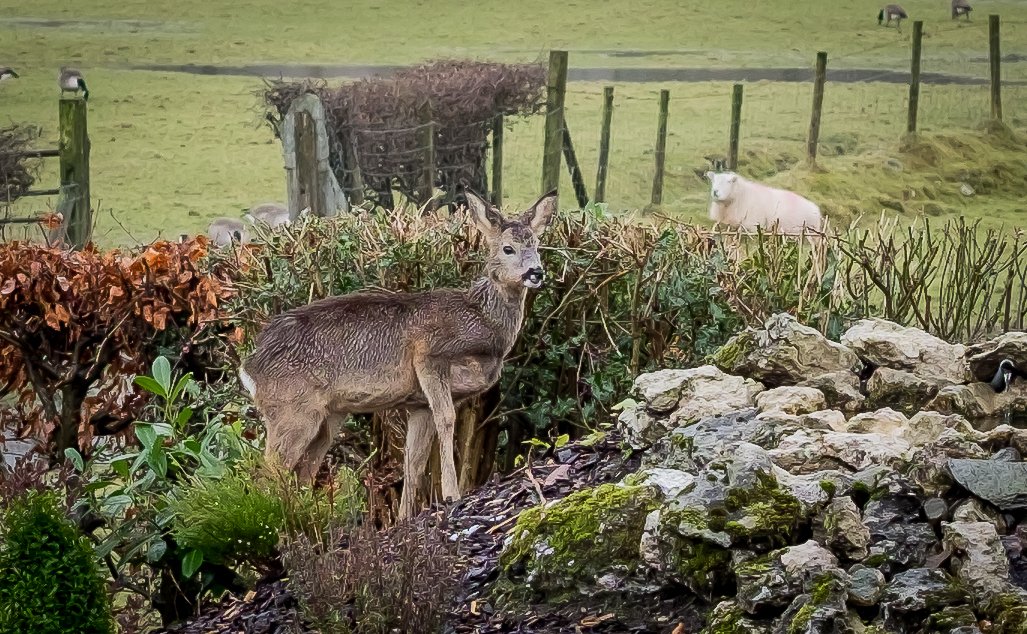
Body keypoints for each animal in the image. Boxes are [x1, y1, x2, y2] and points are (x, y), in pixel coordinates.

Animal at [238, 188, 558, 518]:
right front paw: (452, 494)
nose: (536, 272)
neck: (482, 323)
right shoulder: (428, 353)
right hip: (291, 409)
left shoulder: (418, 403)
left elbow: (413, 461)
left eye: (537, 245)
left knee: (301, 473)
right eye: (508, 248)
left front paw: (405, 517)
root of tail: (250, 367)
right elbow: (447, 419)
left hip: (327, 416)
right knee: (268, 473)